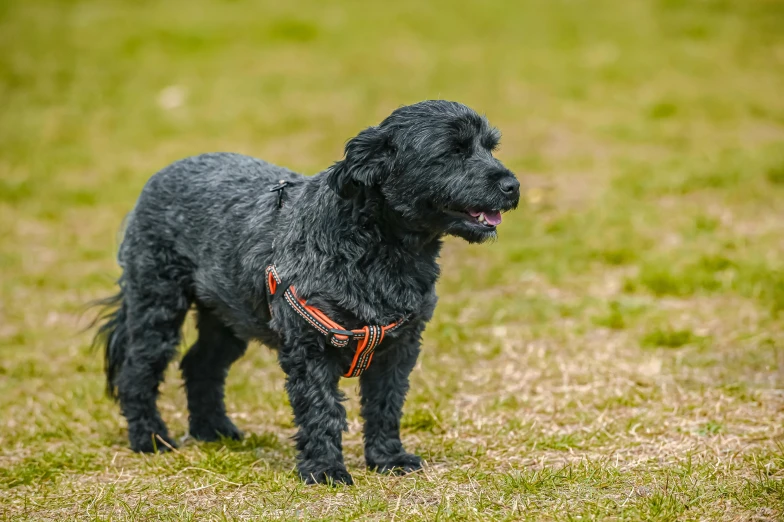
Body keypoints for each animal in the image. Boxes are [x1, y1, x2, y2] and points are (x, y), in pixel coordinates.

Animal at [93, 98, 520, 484]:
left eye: (490, 146)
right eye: (453, 151)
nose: (512, 185)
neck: (378, 249)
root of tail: (161, 175)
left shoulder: (397, 348)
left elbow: (385, 406)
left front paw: (388, 459)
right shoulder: (310, 346)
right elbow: (322, 410)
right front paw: (325, 470)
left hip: (228, 315)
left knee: (201, 365)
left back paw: (213, 431)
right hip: (157, 304)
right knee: (138, 371)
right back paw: (150, 439)